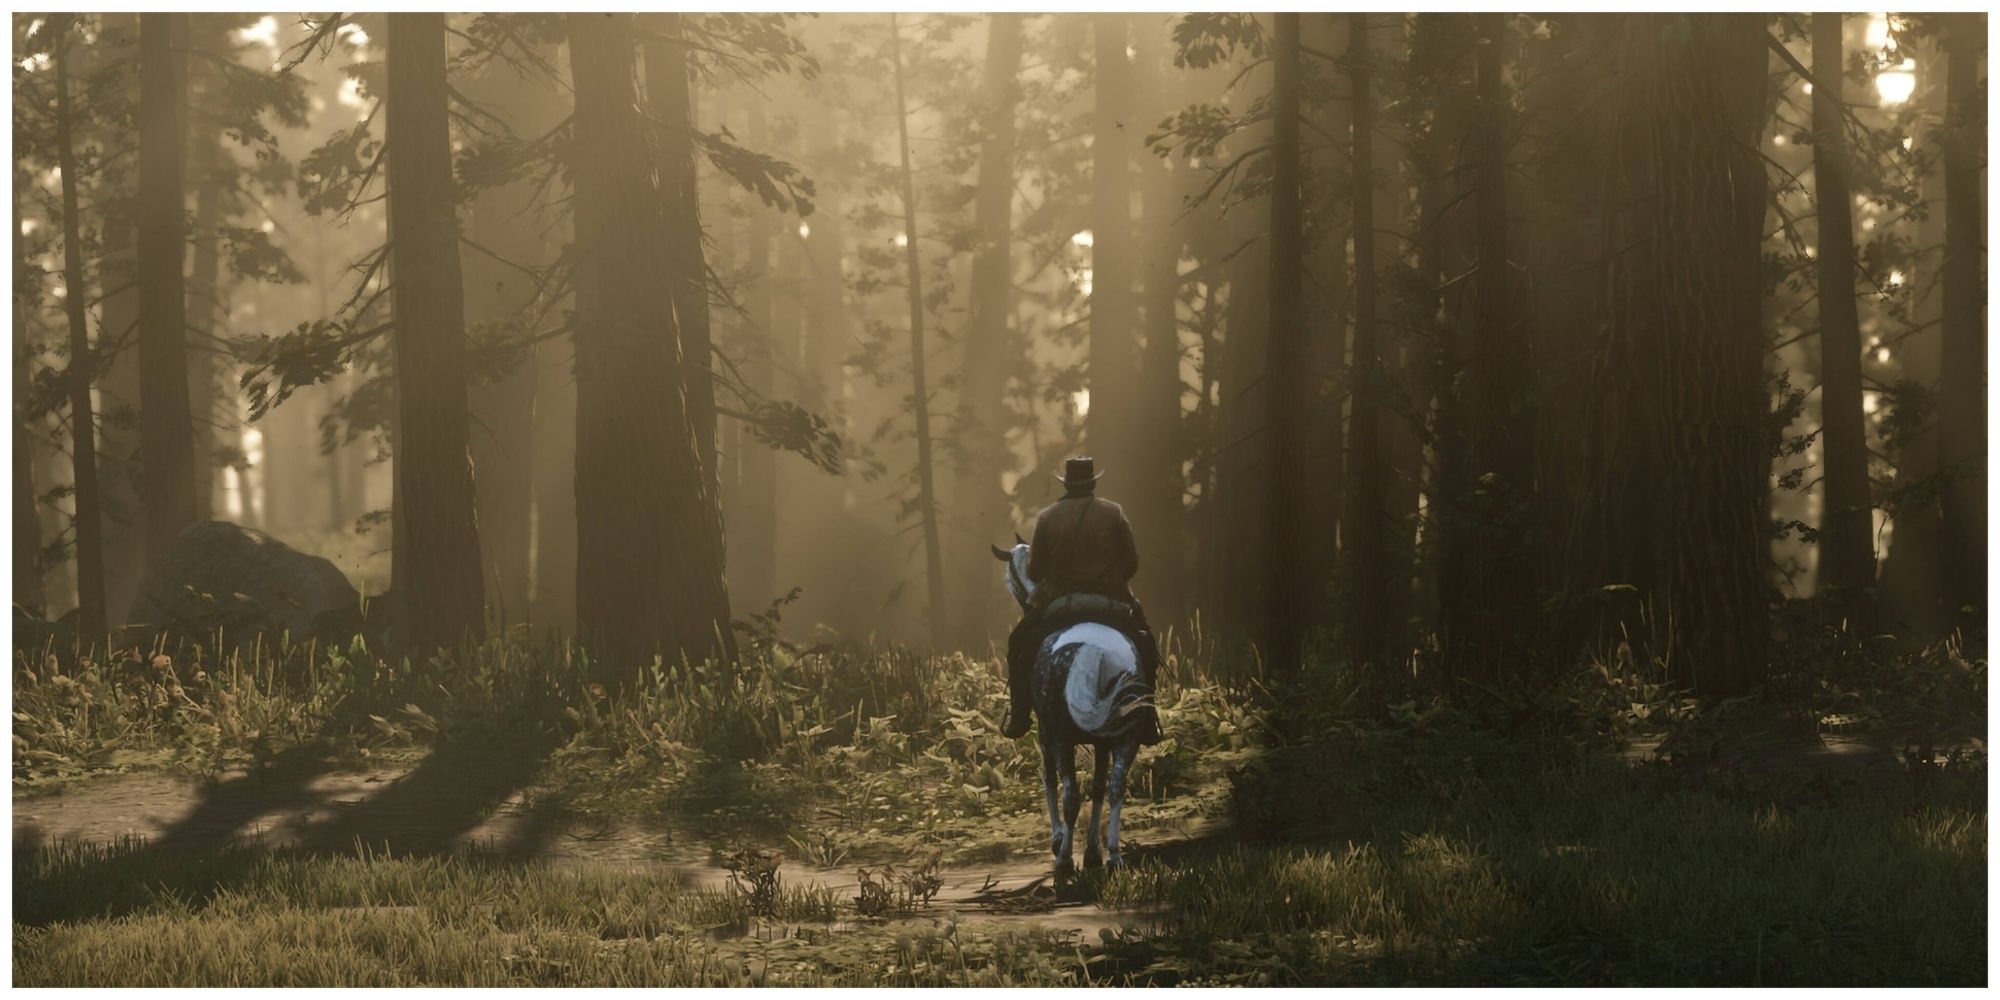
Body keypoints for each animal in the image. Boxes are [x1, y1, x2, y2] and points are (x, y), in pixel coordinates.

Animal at [992, 536, 1152, 872]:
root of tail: (1097, 653)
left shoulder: (1045, 732)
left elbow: (1049, 779)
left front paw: (1057, 841)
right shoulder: (1102, 742)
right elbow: (1099, 786)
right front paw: (1092, 850)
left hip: (1061, 738)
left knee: (1071, 795)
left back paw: (1064, 859)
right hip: (1128, 737)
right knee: (1116, 786)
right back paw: (1114, 853)